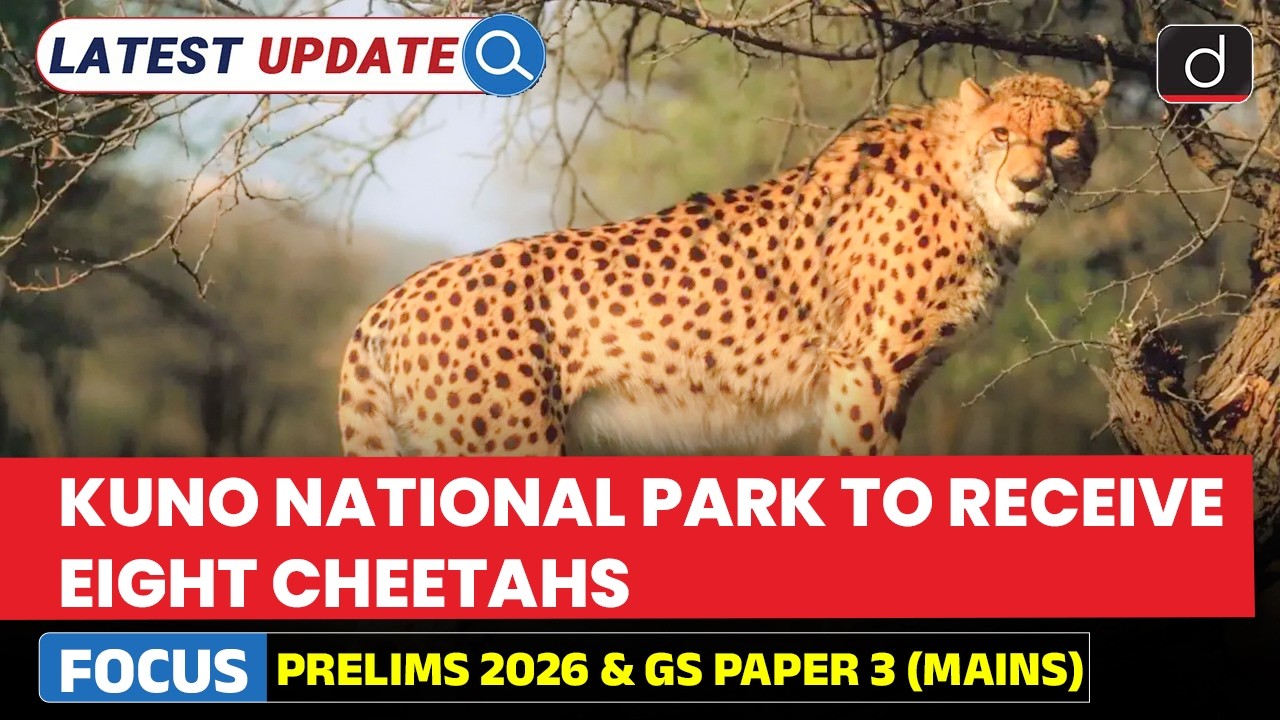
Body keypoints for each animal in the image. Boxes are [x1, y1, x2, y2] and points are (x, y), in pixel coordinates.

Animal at [337, 71, 1110, 457]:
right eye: (1001, 134)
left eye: (1059, 137)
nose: (1028, 182)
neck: (970, 189)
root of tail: (391, 297)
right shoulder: (866, 370)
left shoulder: (900, 381)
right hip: (510, 448)